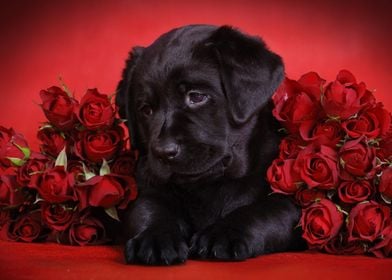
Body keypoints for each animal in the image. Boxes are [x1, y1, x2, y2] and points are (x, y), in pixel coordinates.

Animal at [115, 24, 304, 264]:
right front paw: (154, 237)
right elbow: (149, 209)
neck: (207, 187)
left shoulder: (288, 204)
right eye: (146, 109)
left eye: (196, 97)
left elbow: (263, 212)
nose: (163, 152)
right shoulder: (147, 190)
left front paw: (223, 233)